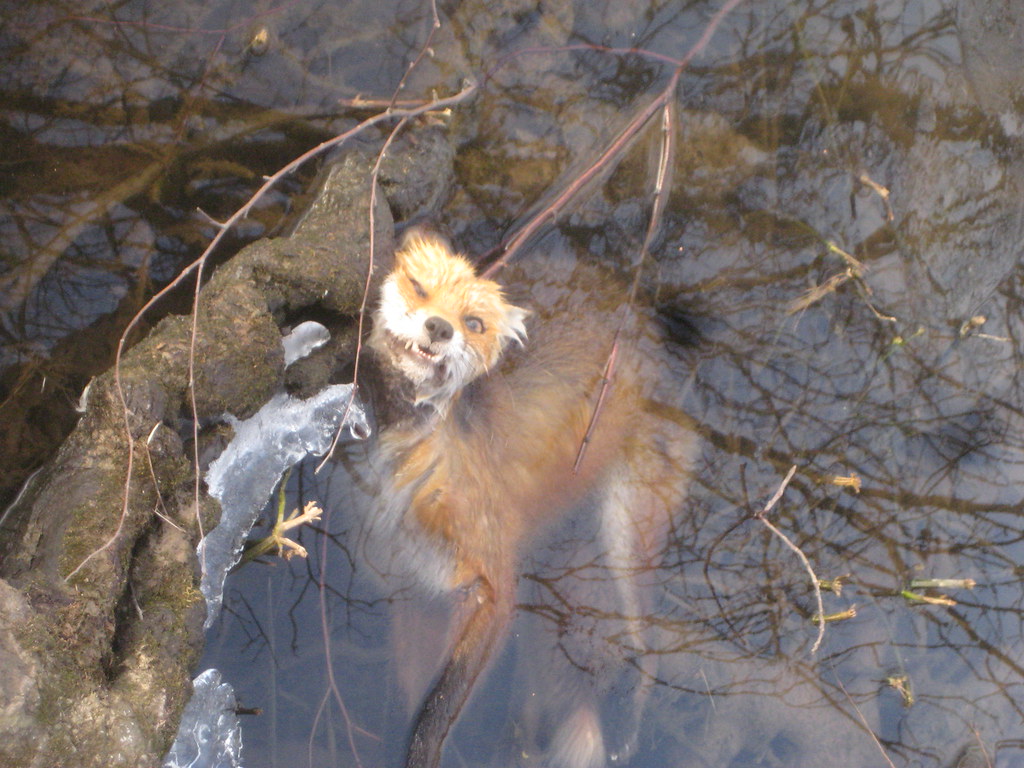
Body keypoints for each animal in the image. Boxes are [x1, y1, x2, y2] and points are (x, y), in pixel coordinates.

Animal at [363, 230, 694, 768]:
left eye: (473, 323)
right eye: (419, 288)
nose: (439, 328)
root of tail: (638, 304)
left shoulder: (494, 583)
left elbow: (439, 705)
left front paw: (425, 748)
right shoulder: (410, 588)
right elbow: (411, 689)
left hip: (627, 535)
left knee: (645, 647)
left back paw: (630, 730)